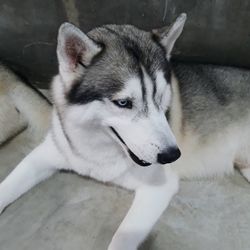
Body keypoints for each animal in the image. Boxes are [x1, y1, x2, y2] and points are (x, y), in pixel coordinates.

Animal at [0, 14, 250, 250]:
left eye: (161, 97)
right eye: (123, 103)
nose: (172, 155)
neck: (98, 149)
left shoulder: (159, 188)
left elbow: (121, 238)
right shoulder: (46, 153)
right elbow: (7, 186)